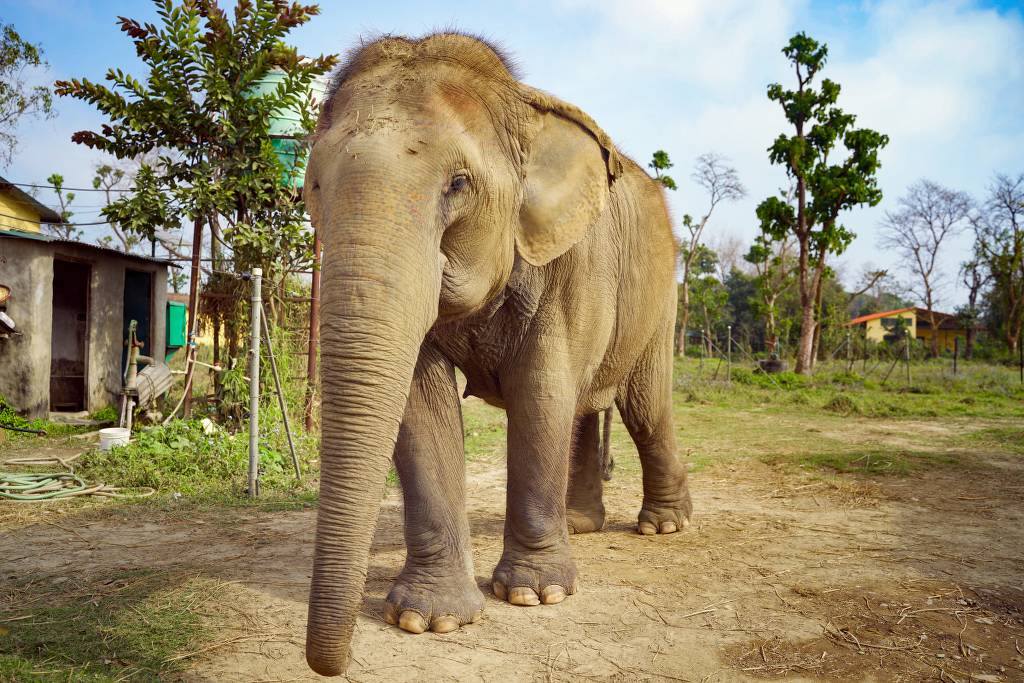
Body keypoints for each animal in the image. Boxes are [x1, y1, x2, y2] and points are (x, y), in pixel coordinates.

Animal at [302, 32, 692, 676]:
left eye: (458, 184)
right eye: (312, 188)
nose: (336, 664)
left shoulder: (569, 261)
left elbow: (540, 392)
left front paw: (536, 594)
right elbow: (420, 405)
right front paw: (427, 619)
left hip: (661, 293)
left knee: (644, 408)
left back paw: (664, 527)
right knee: (584, 408)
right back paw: (582, 525)